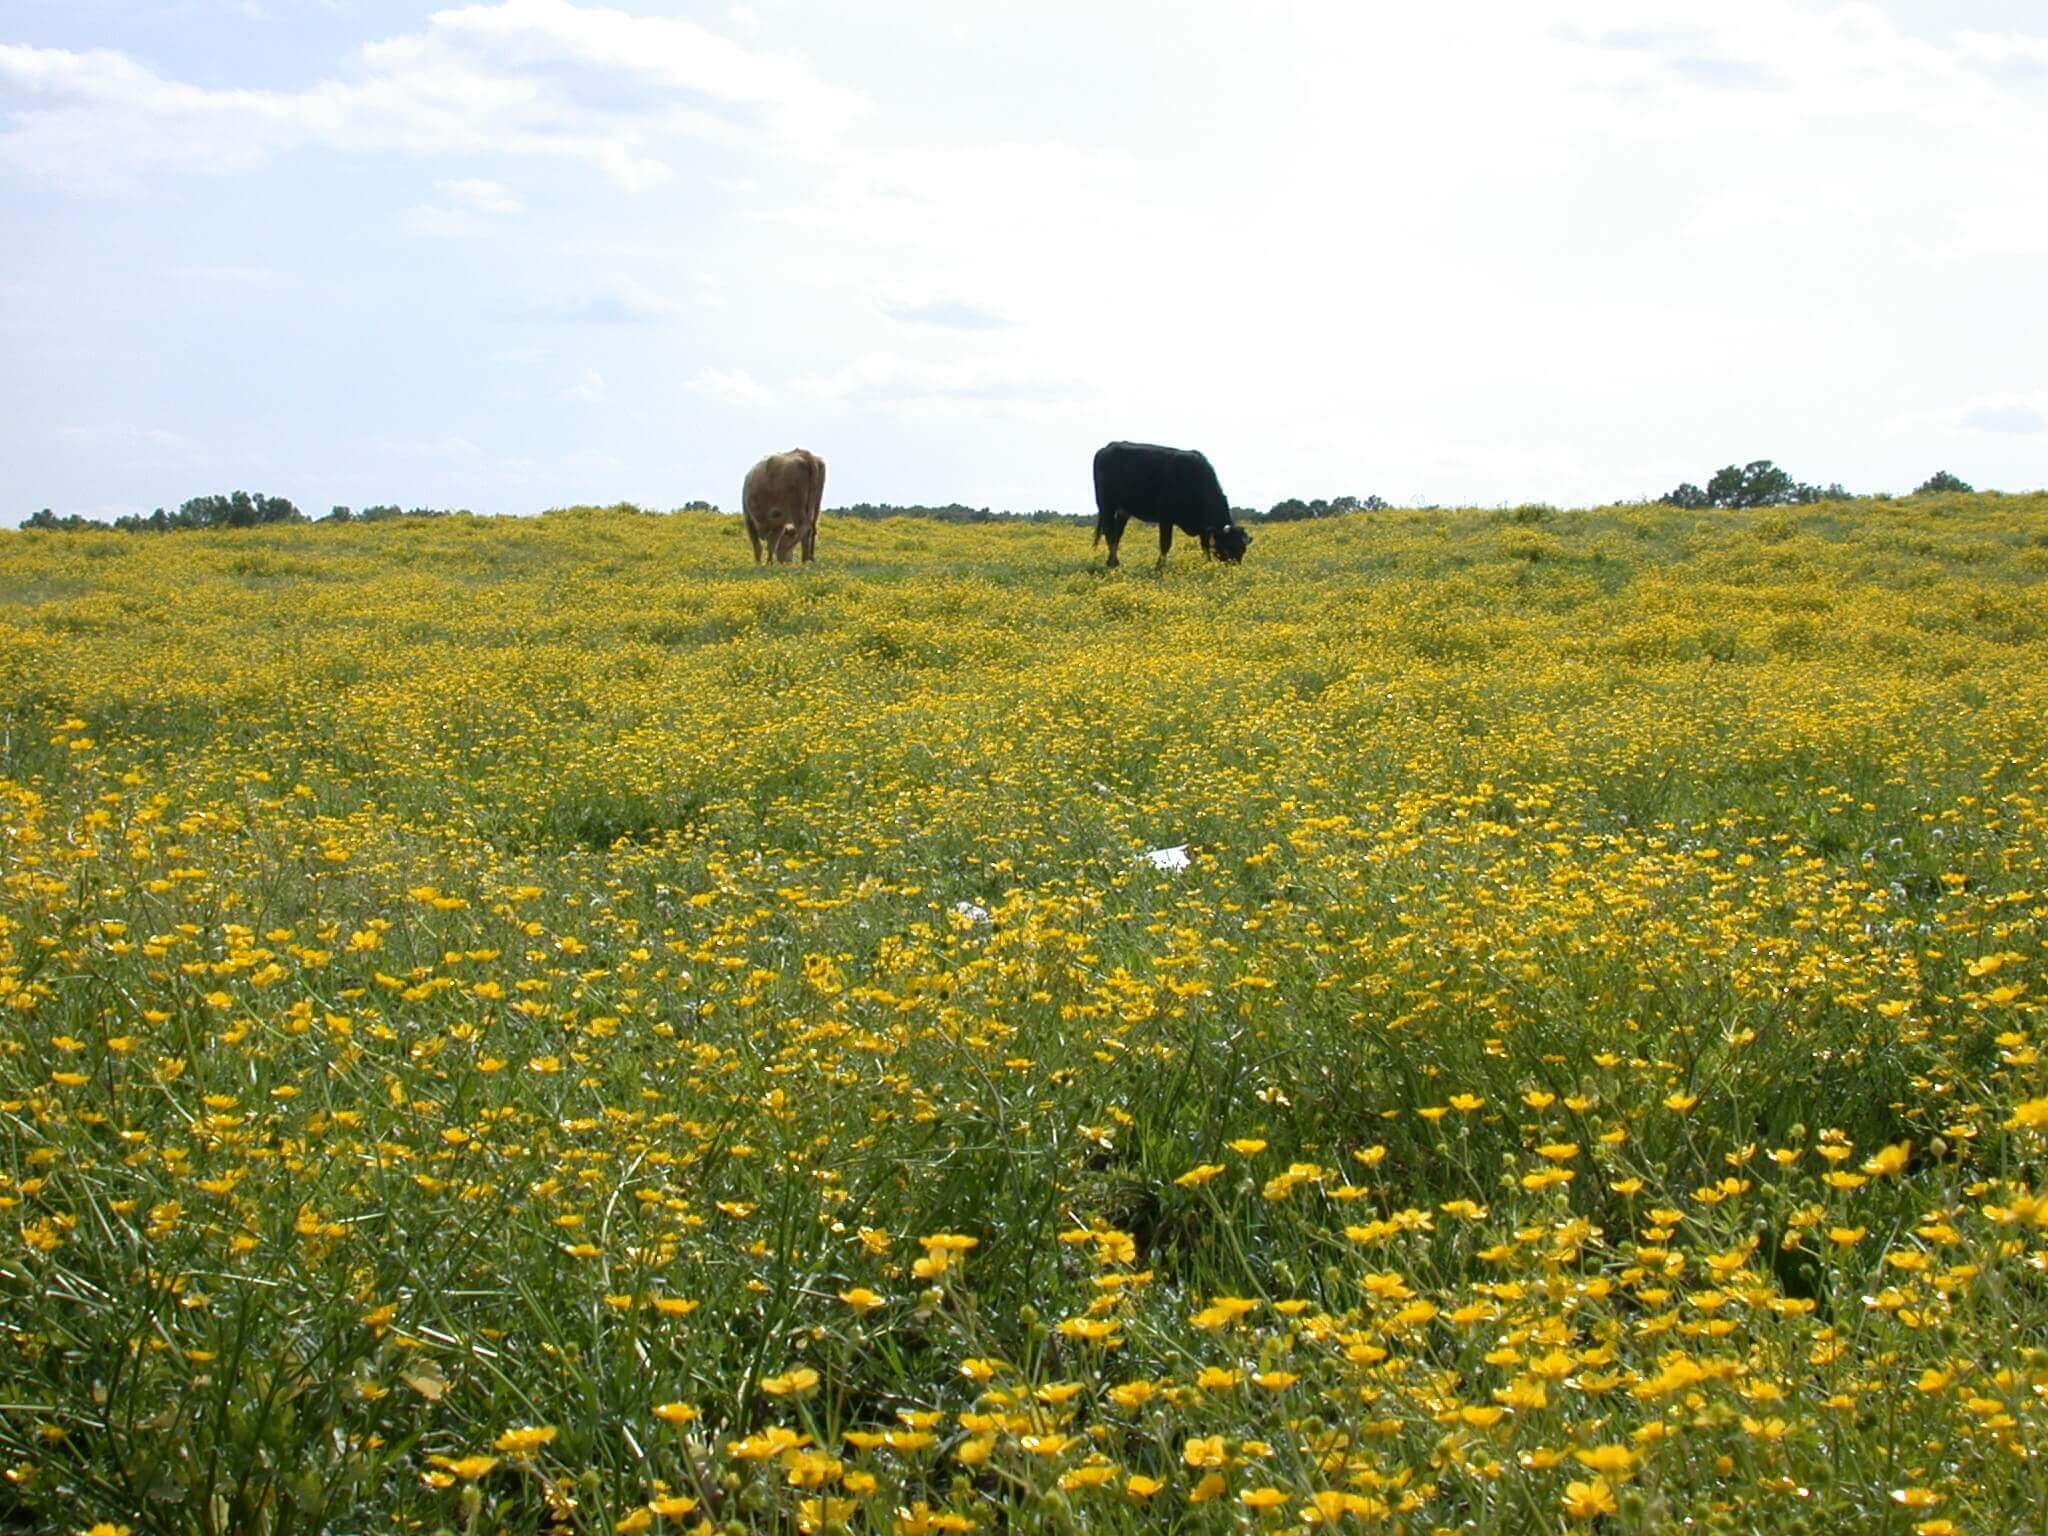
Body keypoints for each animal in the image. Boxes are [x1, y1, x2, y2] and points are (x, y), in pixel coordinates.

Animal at [1089, 438, 1245, 573]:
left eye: (1242, 549)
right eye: (1227, 547)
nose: (1235, 569)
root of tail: (1108, 447)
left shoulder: (1204, 527)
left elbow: (1205, 546)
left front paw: (1207, 565)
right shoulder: (1165, 518)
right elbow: (1165, 544)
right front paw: (1159, 568)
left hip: (1123, 511)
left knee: (1116, 535)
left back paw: (1113, 563)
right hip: (1106, 505)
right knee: (1109, 532)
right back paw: (1114, 564)